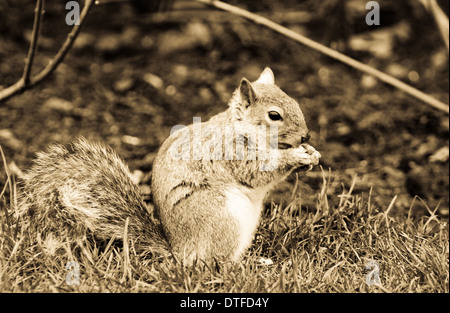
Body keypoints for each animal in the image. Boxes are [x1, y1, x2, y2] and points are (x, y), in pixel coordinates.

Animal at [17, 67, 320, 264]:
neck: (240, 128)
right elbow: (257, 172)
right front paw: (297, 157)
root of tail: (179, 251)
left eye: (296, 102)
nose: (306, 136)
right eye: (274, 116)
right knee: (213, 263)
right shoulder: (230, 152)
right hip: (223, 220)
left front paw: (312, 154)